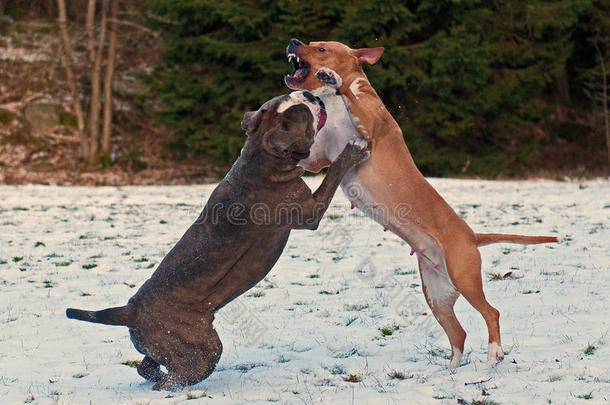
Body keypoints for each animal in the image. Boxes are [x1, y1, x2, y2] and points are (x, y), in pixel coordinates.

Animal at [65, 90, 366, 388]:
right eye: (303, 113)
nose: (307, 93)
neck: (260, 157)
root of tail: (131, 309)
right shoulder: (311, 211)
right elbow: (333, 175)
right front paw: (352, 150)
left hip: (163, 347)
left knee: (146, 366)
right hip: (203, 347)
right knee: (177, 376)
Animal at [284, 39, 556, 368]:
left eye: (321, 48)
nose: (294, 41)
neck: (334, 106)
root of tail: (472, 236)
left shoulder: (371, 128)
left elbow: (353, 95)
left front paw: (335, 79)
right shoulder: (318, 159)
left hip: (465, 277)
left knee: (491, 312)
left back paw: (494, 353)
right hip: (437, 294)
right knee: (458, 334)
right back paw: (452, 372)